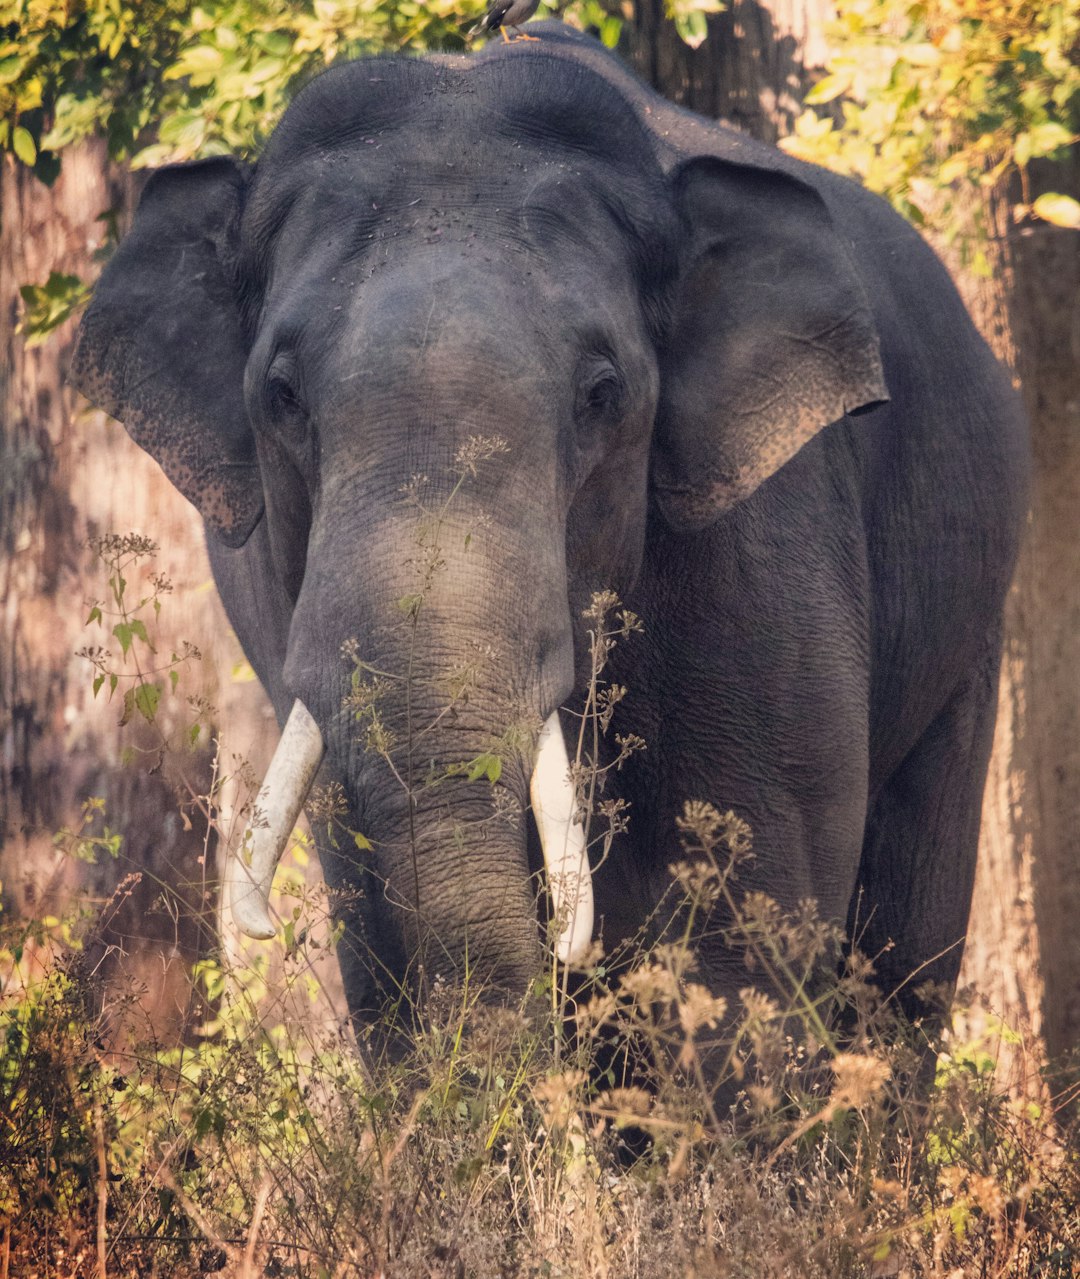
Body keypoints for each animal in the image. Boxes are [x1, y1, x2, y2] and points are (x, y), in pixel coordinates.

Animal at [69, 24, 1028, 1053]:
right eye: (281, 394)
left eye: (601, 393)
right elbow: (375, 938)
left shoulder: (769, 552)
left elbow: (742, 939)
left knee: (904, 941)